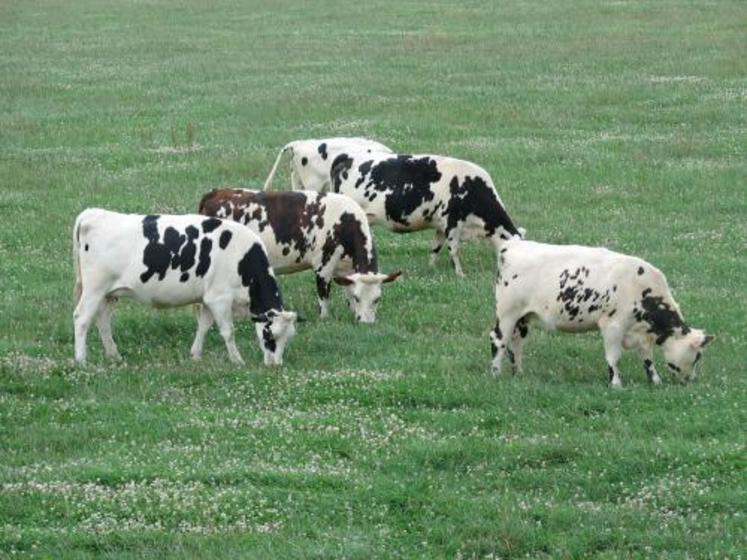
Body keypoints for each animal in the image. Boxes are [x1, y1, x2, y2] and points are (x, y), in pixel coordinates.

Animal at [73, 210, 300, 368]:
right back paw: (81, 360)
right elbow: (228, 332)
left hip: (109, 293)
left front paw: (195, 355)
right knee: (82, 318)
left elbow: (204, 325)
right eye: (270, 336)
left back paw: (114, 356)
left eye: (288, 338)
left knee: (103, 320)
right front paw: (237, 360)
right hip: (94, 288)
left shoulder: (208, 298)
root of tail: (93, 213)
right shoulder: (220, 298)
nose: (275, 365)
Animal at [196, 188, 400, 322]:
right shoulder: (324, 266)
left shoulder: (347, 272)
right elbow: (323, 296)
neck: (346, 223)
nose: (366, 322)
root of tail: (216, 193)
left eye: (377, 299)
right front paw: (324, 319)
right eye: (359, 298)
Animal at [330, 152, 524, 276]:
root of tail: (347, 157)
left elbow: (436, 247)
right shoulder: (453, 221)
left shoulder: (441, 225)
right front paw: (460, 273)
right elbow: (454, 249)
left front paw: (432, 268)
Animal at [490, 238, 712, 388]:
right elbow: (613, 357)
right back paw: (495, 373)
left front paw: (655, 380)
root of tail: (512, 245)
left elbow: (647, 359)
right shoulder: (612, 326)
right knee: (499, 339)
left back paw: (518, 373)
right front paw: (615, 384)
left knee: (516, 343)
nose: (690, 381)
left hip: (523, 318)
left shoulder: (642, 334)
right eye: (697, 356)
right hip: (507, 312)